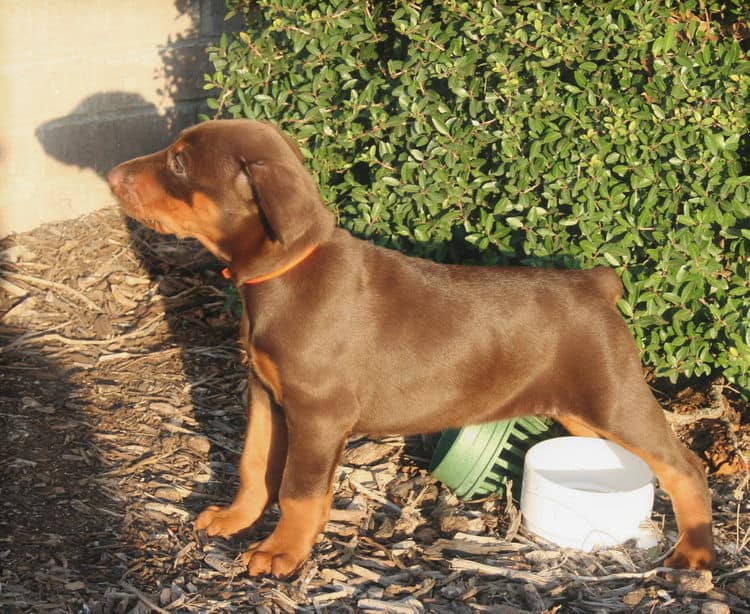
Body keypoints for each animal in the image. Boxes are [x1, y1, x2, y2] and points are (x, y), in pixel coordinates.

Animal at [108, 119, 720, 576]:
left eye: (180, 164)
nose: (112, 175)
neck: (286, 274)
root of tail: (596, 282)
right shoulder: (265, 393)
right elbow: (254, 462)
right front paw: (236, 519)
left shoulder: (318, 413)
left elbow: (299, 487)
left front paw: (283, 551)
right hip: (578, 409)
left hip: (614, 399)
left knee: (686, 466)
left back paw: (695, 551)